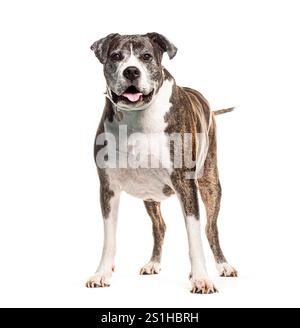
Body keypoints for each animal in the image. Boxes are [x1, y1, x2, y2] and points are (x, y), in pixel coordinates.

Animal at [86, 32, 237, 294]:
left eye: (147, 56)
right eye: (116, 56)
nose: (131, 71)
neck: (137, 117)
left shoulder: (186, 185)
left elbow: (194, 236)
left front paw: (201, 278)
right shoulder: (108, 189)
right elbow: (109, 238)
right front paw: (102, 273)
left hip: (210, 183)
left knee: (210, 228)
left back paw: (223, 266)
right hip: (150, 195)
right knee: (160, 226)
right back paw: (153, 263)